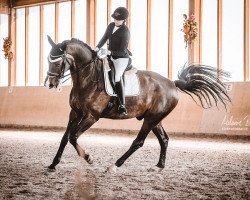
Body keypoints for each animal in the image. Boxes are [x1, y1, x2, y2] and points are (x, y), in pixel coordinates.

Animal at [44, 36, 230, 172]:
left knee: (138, 142)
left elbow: (73, 137)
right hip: (155, 119)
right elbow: (65, 138)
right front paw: (53, 164)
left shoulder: (91, 116)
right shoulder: (75, 113)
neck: (88, 78)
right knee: (164, 139)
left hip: (150, 119)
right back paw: (159, 166)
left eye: (58, 61)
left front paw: (89, 158)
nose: (51, 84)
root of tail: (172, 83)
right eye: (48, 59)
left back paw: (114, 165)